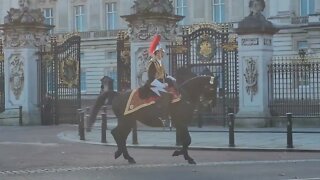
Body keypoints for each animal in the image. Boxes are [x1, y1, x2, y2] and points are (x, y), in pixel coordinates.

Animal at [88, 71, 218, 165]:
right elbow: (187, 140)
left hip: (128, 122)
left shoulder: (180, 124)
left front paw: (183, 155)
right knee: (117, 134)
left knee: (121, 136)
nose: (212, 106)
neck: (185, 96)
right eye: (213, 88)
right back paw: (123, 154)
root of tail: (117, 94)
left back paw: (126, 156)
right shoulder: (181, 123)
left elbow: (186, 140)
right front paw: (184, 156)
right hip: (126, 121)